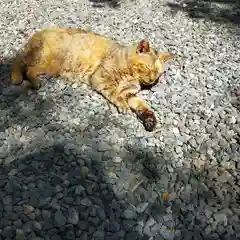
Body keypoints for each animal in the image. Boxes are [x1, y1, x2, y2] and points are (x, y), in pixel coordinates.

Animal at [10, 27, 177, 131]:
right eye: (148, 69)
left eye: (158, 74)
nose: (152, 81)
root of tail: (37, 34)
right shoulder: (101, 78)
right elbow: (115, 94)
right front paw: (122, 105)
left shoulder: (129, 93)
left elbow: (142, 105)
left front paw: (149, 119)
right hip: (44, 58)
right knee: (19, 61)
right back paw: (19, 78)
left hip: (50, 67)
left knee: (27, 67)